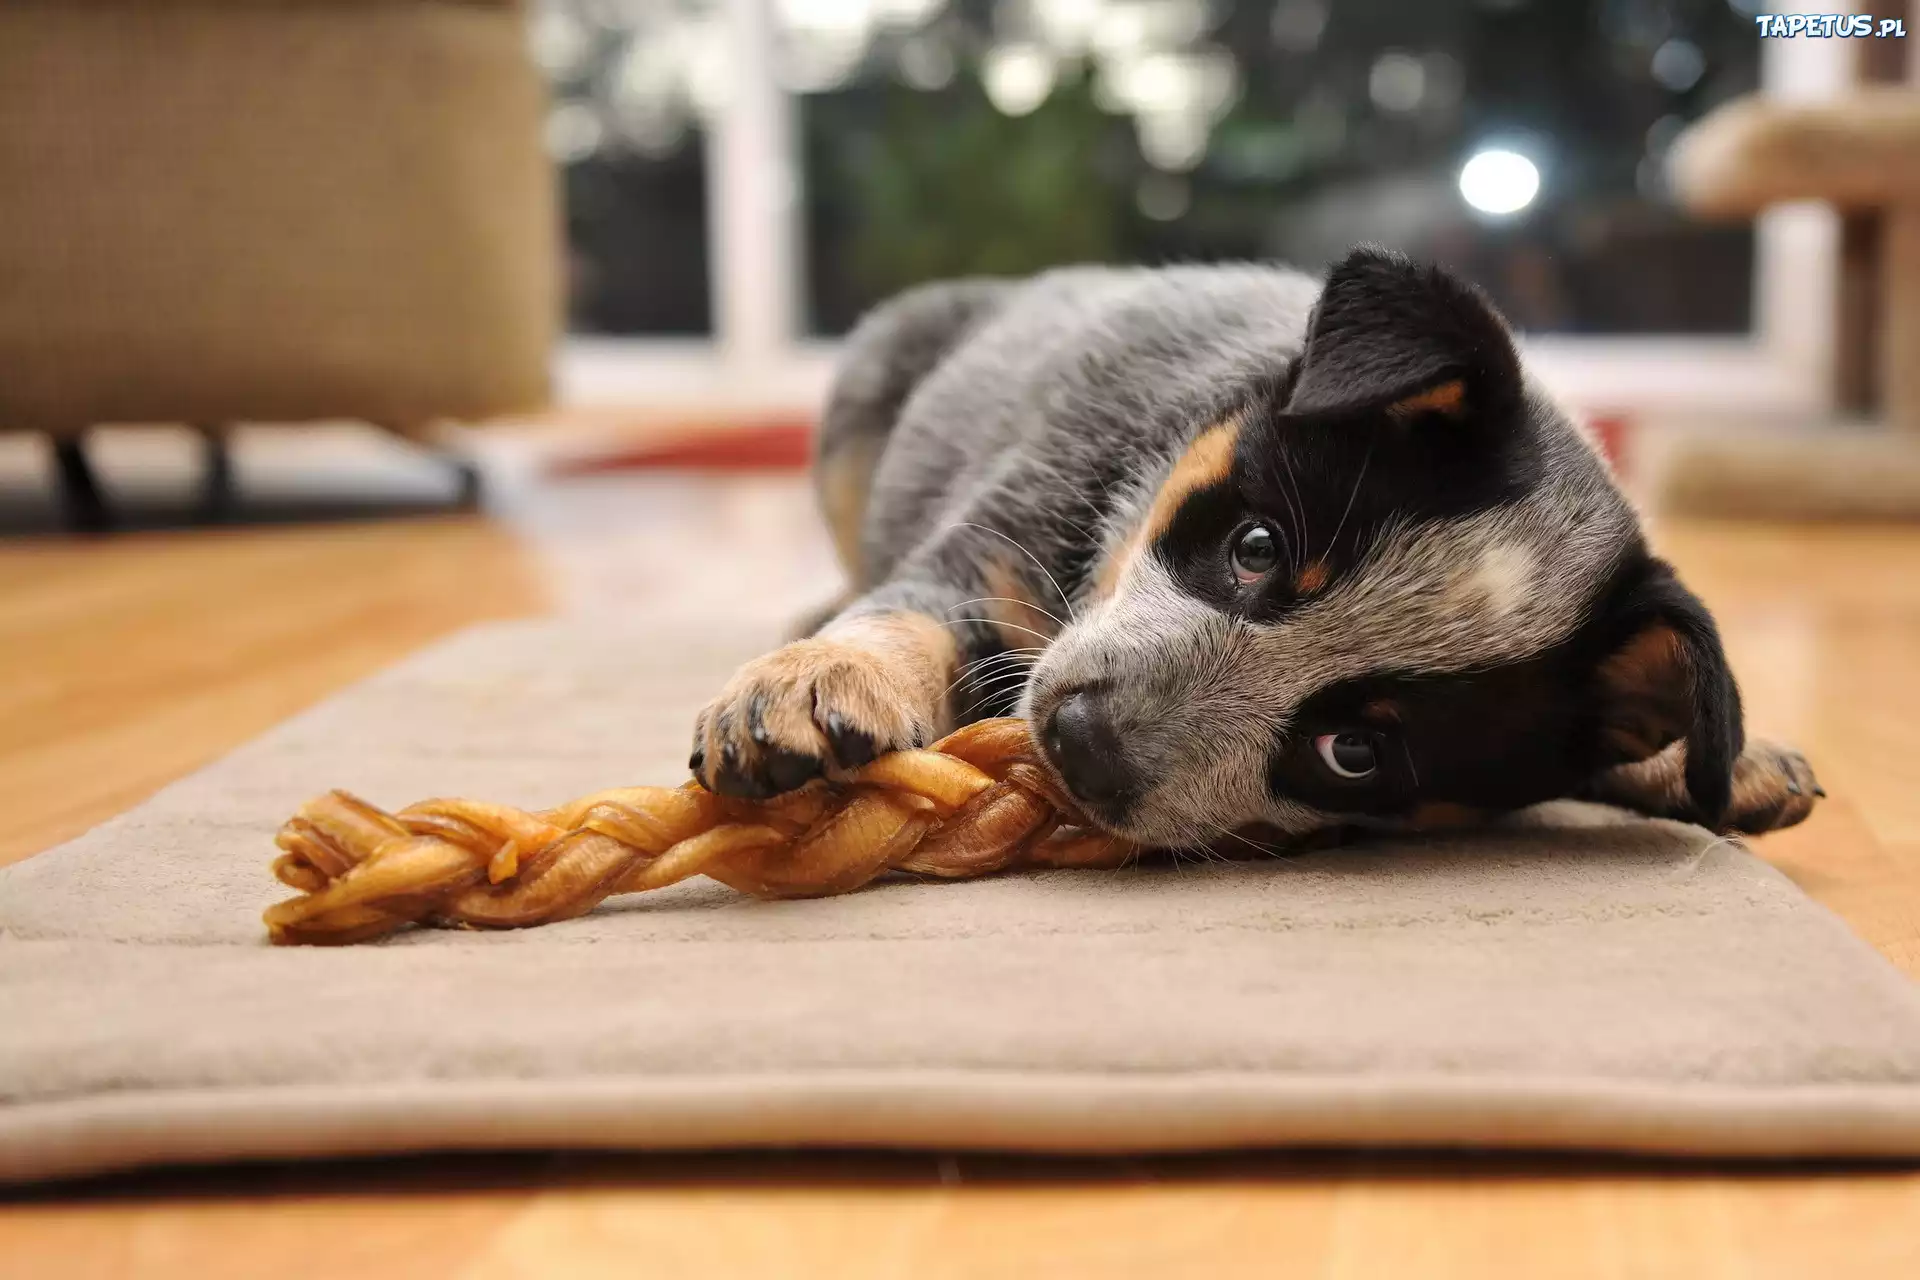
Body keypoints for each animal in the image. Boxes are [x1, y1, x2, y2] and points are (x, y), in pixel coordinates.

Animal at [687, 249, 1812, 852]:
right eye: (1257, 546)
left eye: (1353, 751)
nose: (1082, 737)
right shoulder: (987, 549)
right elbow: (904, 610)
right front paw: (815, 677)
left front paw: (1715, 759)